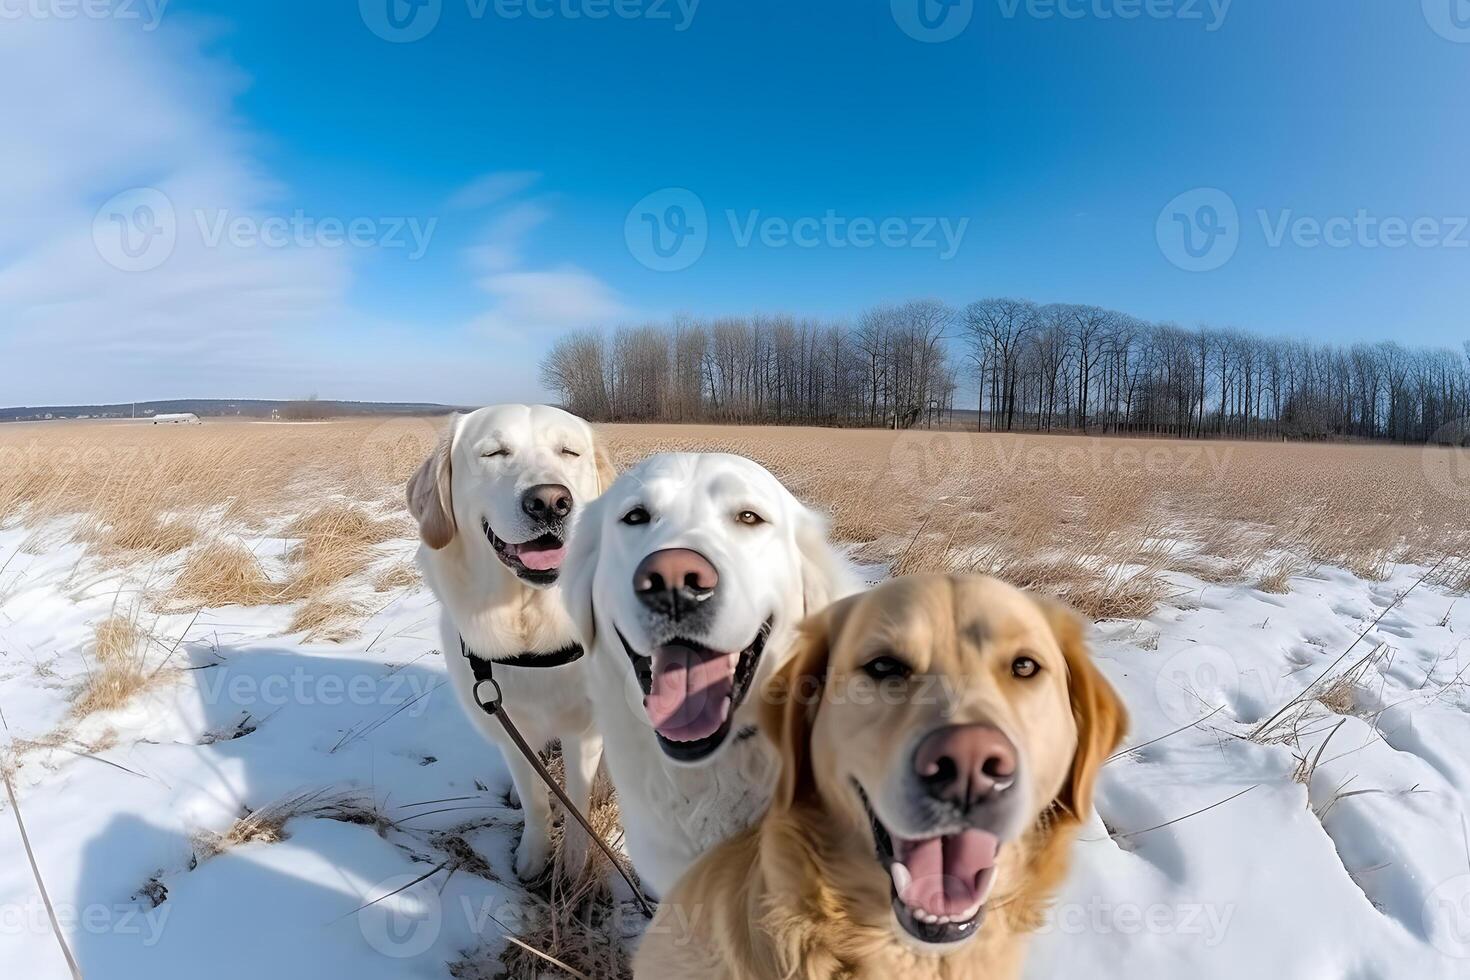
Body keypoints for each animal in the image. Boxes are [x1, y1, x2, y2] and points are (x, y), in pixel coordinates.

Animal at [405, 402, 611, 875]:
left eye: (569, 452)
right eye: (495, 453)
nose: (550, 502)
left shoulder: (586, 728)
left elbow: (578, 800)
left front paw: (573, 867)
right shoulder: (508, 722)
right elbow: (536, 798)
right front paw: (533, 856)